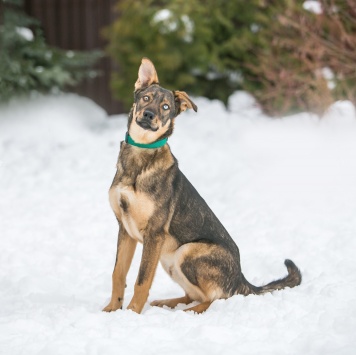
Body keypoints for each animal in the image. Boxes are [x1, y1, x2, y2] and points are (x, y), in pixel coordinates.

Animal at [102, 57, 300, 314]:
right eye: (146, 98)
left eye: (165, 107)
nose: (148, 115)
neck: (140, 156)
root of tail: (241, 279)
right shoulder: (124, 229)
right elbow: (118, 273)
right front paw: (111, 310)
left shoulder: (154, 234)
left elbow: (141, 280)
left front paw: (133, 313)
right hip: (169, 259)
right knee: (192, 294)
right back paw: (168, 304)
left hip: (186, 252)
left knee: (218, 298)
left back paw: (189, 312)